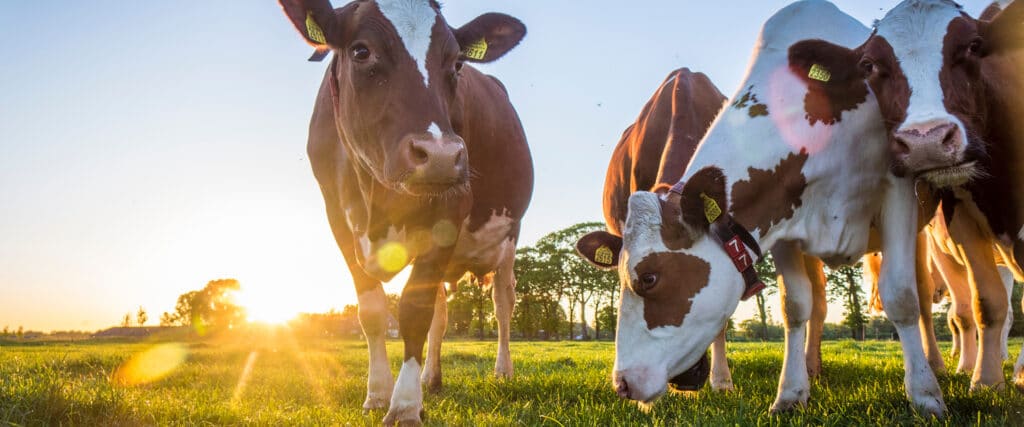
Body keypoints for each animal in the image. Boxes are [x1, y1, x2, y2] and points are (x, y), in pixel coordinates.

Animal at [278, 1, 532, 424]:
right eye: (361, 51)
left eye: (457, 62)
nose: (442, 156)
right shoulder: (338, 220)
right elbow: (373, 311)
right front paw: (378, 393)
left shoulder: (449, 211)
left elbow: (414, 310)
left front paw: (405, 405)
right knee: (442, 314)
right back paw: (432, 378)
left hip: (508, 238)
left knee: (502, 303)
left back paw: (502, 370)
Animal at [576, 0, 981, 416]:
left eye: (649, 278)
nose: (622, 384)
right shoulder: (783, 219)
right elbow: (796, 306)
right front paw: (790, 393)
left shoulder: (897, 189)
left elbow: (901, 296)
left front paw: (926, 396)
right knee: (819, 303)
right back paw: (812, 367)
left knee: (921, 293)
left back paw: (935, 364)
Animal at [790, 0, 1024, 392]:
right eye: (869, 65)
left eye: (974, 46)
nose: (926, 141)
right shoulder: (961, 221)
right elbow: (985, 304)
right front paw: (986, 381)